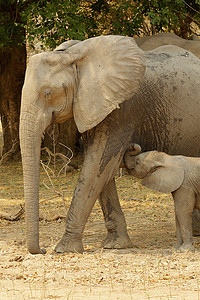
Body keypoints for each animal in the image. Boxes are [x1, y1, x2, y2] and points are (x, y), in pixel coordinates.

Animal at [19, 35, 200, 255]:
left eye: (47, 92)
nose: (43, 250)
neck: (72, 57)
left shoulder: (122, 111)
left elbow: (96, 167)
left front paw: (64, 249)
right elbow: (102, 171)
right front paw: (116, 245)